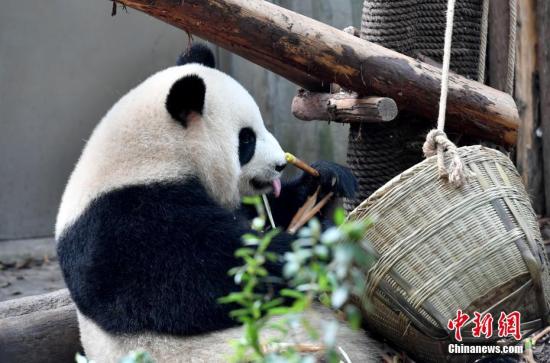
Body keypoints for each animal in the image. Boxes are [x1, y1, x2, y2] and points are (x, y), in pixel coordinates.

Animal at [56, 44, 384, 362]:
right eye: (247, 139)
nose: (280, 165)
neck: (151, 156)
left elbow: (269, 212)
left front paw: (328, 178)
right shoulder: (127, 225)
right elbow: (212, 278)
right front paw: (316, 243)